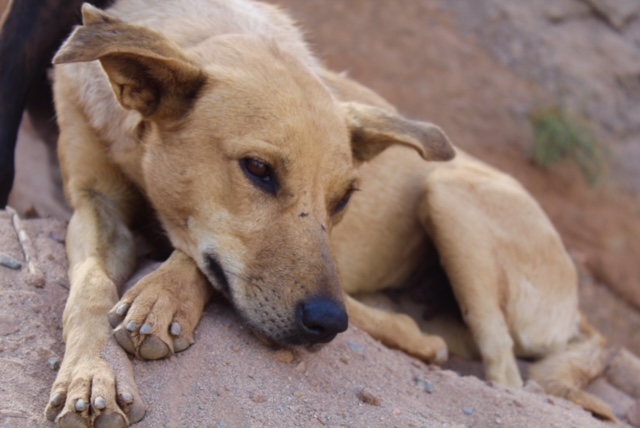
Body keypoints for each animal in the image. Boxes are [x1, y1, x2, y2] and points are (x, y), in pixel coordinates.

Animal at [47, 1, 452, 426]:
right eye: (258, 168)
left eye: (343, 198)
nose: (327, 322)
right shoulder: (95, 200)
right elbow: (90, 285)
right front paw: (90, 374)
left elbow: (197, 257)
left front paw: (162, 297)